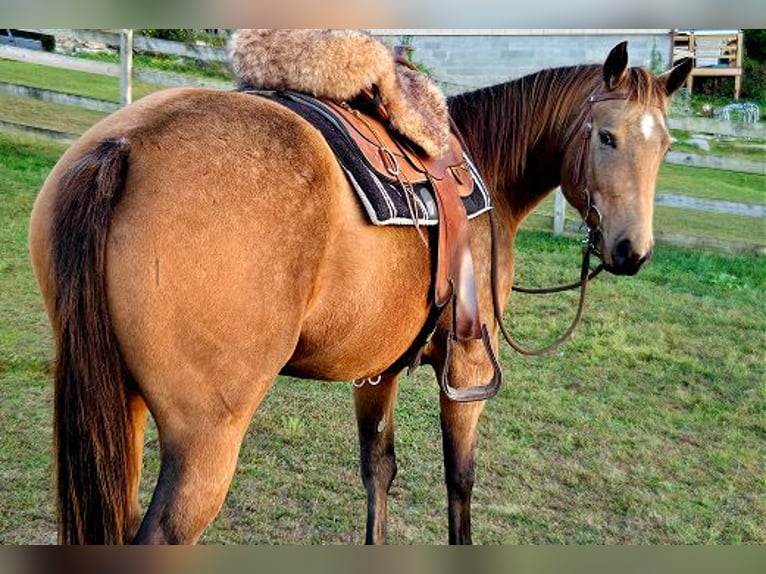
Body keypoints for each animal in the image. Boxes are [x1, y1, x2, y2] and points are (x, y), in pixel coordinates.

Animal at [28, 41, 691, 544]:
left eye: (664, 146)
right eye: (606, 137)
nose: (631, 252)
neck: (484, 170)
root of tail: (126, 146)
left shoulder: (378, 369)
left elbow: (378, 471)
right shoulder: (469, 368)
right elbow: (460, 480)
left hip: (123, 405)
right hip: (204, 442)